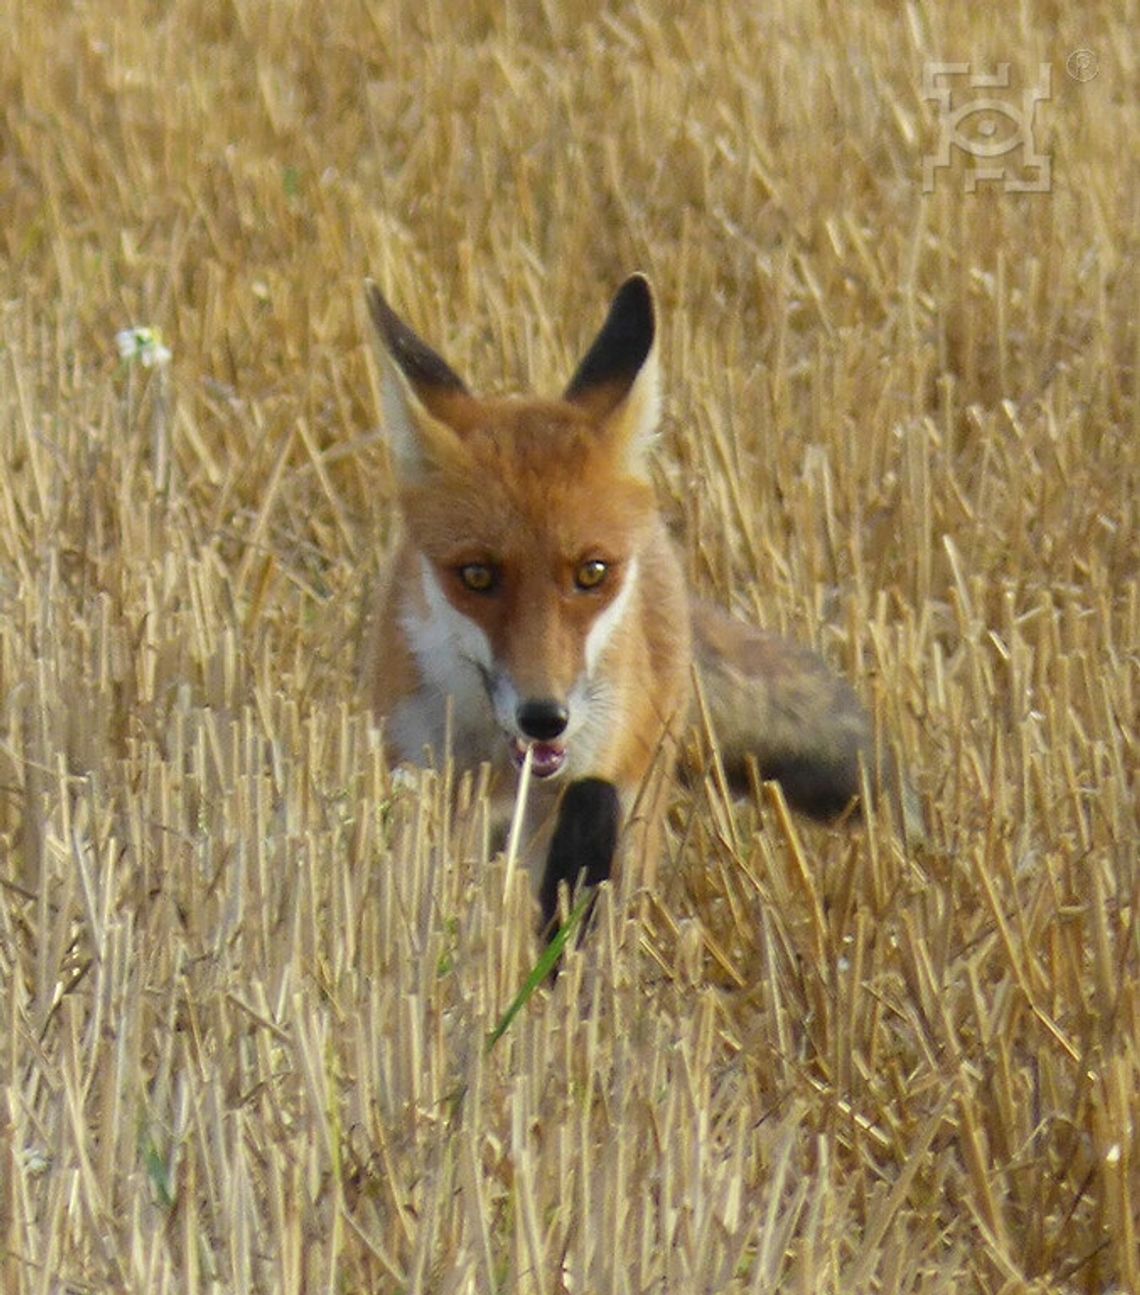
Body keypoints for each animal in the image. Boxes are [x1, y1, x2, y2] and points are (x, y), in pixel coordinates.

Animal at [360, 273, 912, 927]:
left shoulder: (587, 791)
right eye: (475, 576)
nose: (544, 717)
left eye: (592, 572)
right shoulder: (423, 776)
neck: (501, 763)